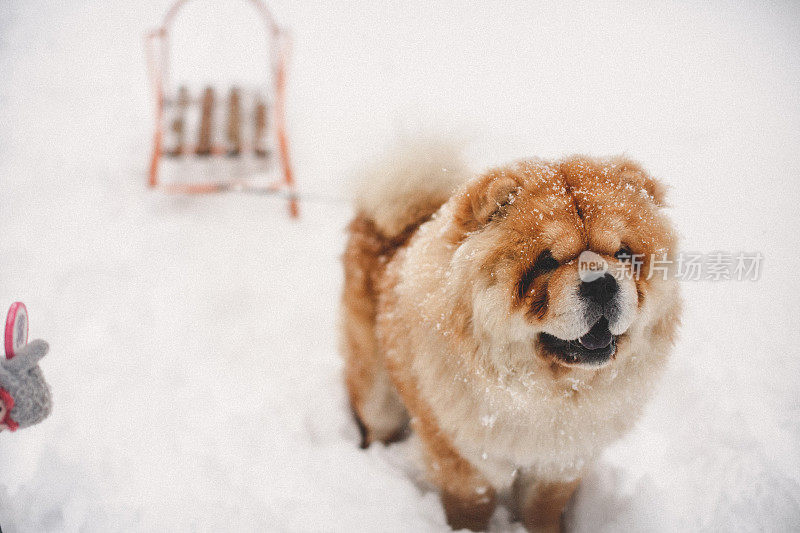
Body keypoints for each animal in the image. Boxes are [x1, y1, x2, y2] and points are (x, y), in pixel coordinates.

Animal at [338, 139, 680, 528]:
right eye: (546, 261)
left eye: (623, 254)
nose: (602, 283)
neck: (544, 393)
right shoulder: (467, 460)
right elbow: (471, 506)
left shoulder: (562, 462)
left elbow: (542, 509)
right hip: (376, 393)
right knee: (373, 418)